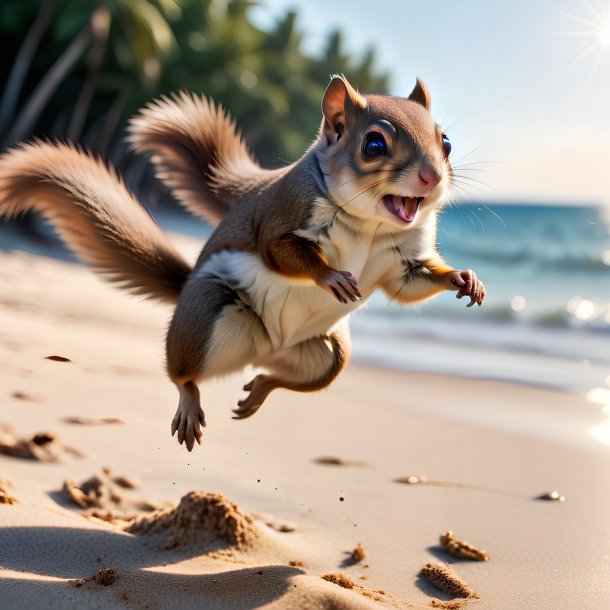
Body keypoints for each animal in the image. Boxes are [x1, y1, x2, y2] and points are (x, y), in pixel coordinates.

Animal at [0, 75, 484, 446]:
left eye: (445, 141)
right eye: (374, 144)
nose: (431, 177)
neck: (371, 225)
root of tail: (266, 347)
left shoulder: (404, 259)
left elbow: (409, 283)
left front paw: (466, 279)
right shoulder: (283, 215)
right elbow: (281, 252)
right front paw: (331, 276)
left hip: (328, 355)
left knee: (284, 377)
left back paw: (259, 390)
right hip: (206, 310)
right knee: (182, 373)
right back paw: (190, 403)